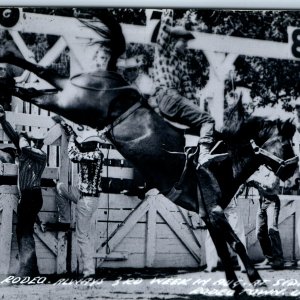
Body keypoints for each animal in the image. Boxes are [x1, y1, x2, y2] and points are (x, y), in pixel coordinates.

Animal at [0, 8, 298, 296]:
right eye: (287, 144)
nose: (293, 170)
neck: (223, 162)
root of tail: (116, 79)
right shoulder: (214, 212)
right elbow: (236, 244)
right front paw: (256, 281)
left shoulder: (207, 215)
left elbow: (225, 250)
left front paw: (238, 285)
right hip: (73, 103)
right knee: (35, 89)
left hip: (68, 94)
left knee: (37, 81)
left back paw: (8, 70)